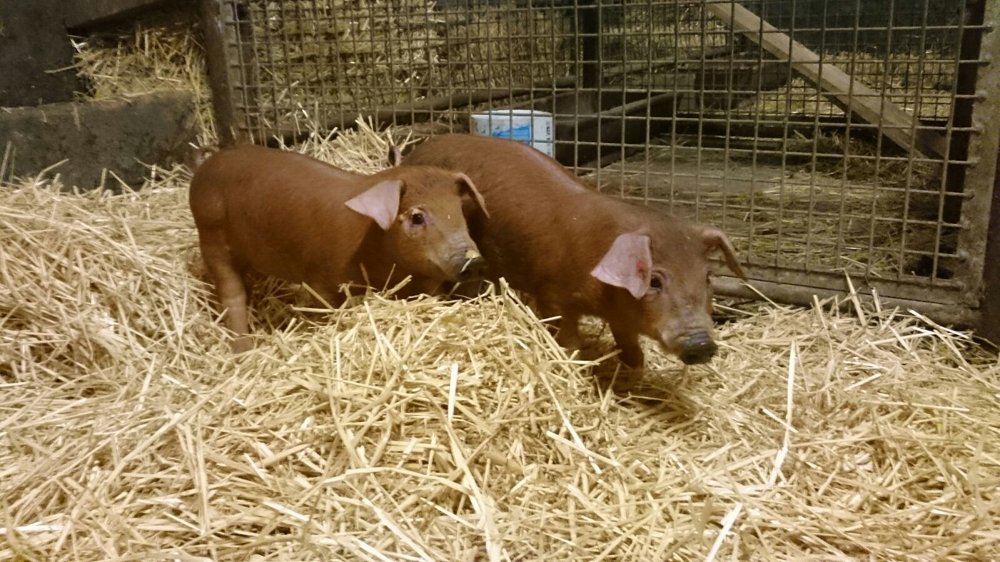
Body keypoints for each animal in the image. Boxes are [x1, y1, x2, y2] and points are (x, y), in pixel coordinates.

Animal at [189, 144, 487, 352]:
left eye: (459, 210)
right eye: (416, 217)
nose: (474, 260)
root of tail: (207, 166)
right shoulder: (320, 280)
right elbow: (325, 309)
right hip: (211, 236)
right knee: (232, 294)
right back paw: (243, 350)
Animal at [399, 134, 744, 389]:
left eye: (707, 277)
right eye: (655, 280)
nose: (702, 344)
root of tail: (416, 152)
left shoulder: (621, 316)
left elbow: (631, 348)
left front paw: (633, 376)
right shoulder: (554, 297)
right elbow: (568, 340)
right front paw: (578, 369)